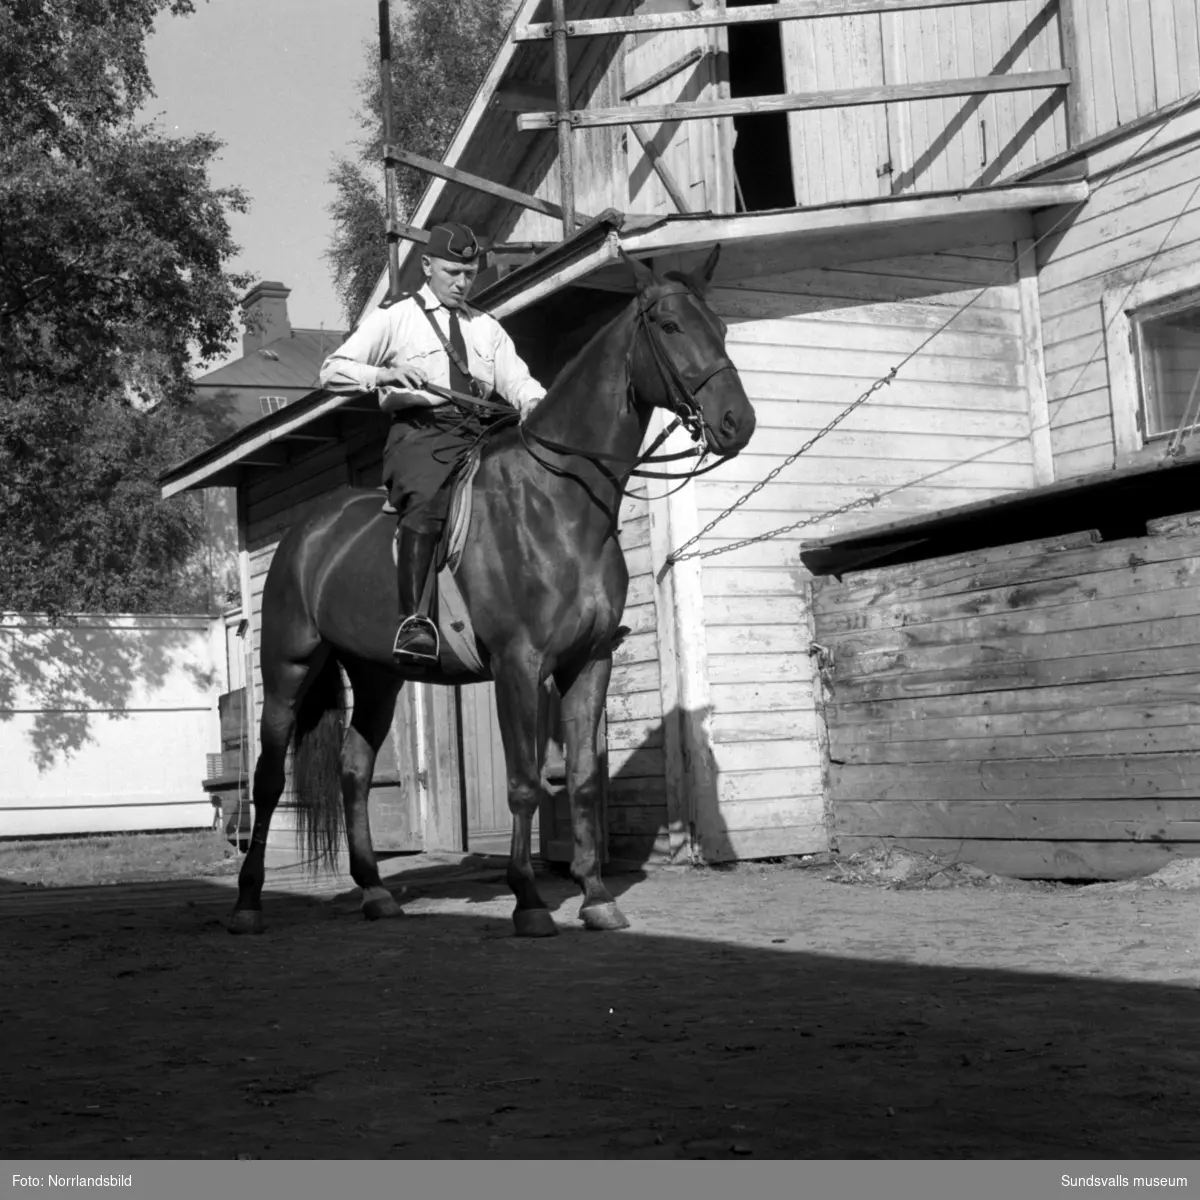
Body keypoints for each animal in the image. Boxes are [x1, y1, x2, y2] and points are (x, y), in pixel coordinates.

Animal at [229, 246, 753, 936]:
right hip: (290, 667)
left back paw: (375, 891)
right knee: (267, 779)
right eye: (669, 327)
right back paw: (248, 901)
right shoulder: (517, 665)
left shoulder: (590, 661)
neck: (559, 504)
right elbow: (525, 782)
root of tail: (309, 530)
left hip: (377, 676)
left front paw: (594, 895)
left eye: (719, 327)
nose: (737, 423)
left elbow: (582, 779)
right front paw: (527, 898)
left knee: (354, 770)